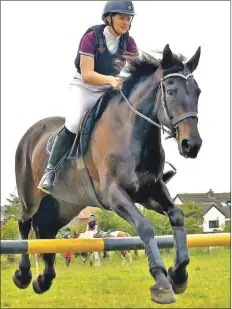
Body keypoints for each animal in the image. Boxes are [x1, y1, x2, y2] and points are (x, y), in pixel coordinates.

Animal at [13, 44, 201, 304]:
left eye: (198, 92)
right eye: (171, 92)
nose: (191, 145)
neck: (132, 133)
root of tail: (31, 132)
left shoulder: (149, 191)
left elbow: (177, 216)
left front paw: (179, 274)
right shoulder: (114, 195)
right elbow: (144, 227)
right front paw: (162, 281)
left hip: (65, 205)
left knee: (48, 231)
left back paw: (44, 280)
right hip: (30, 196)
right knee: (25, 223)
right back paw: (23, 275)